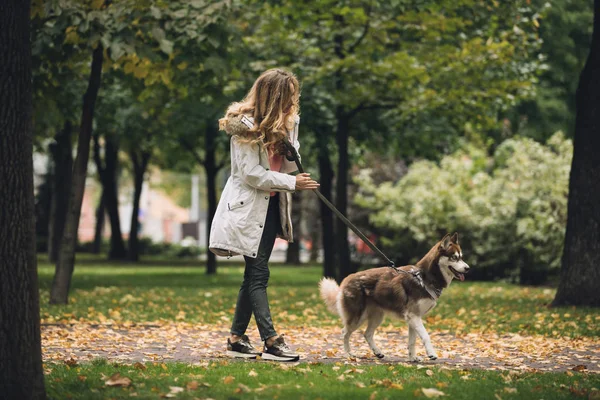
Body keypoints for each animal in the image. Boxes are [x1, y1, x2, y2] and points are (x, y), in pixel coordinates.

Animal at [322, 233, 472, 360]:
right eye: (454, 257)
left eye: (461, 257)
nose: (468, 268)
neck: (424, 278)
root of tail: (346, 280)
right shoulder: (413, 316)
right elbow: (425, 336)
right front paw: (431, 354)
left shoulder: (413, 318)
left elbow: (412, 340)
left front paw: (413, 358)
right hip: (357, 317)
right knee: (344, 332)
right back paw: (348, 354)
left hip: (377, 316)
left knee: (367, 333)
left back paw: (378, 352)